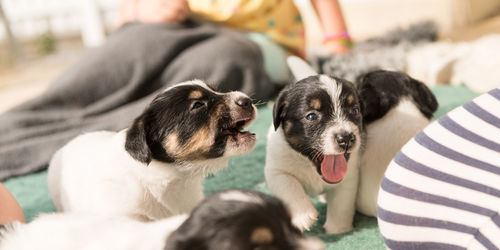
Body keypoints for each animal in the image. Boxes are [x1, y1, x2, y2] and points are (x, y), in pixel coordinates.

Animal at [266, 56, 364, 234]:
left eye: (354, 111)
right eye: (311, 116)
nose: (346, 138)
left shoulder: (348, 179)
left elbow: (341, 205)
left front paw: (338, 230)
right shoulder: (277, 172)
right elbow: (289, 186)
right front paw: (303, 215)